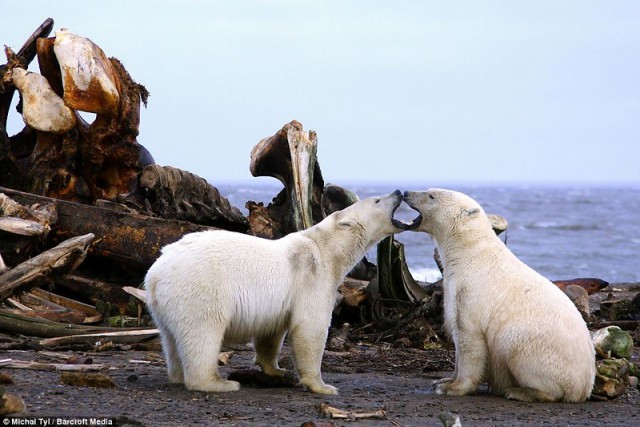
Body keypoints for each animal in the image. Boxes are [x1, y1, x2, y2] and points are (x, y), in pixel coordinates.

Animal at [144, 191, 410, 394]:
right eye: (377, 200)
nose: (399, 191)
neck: (327, 248)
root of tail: (156, 272)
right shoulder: (311, 275)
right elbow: (310, 327)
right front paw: (323, 386)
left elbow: (270, 333)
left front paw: (277, 369)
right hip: (200, 289)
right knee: (203, 333)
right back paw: (220, 383)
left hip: (167, 302)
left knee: (171, 338)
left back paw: (178, 375)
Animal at [404, 189, 596, 402]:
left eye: (431, 196)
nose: (405, 193)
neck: (469, 253)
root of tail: (584, 387)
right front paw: (442, 380)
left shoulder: (471, 289)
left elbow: (468, 337)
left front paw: (453, 388)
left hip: (540, 350)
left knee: (515, 347)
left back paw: (519, 391)